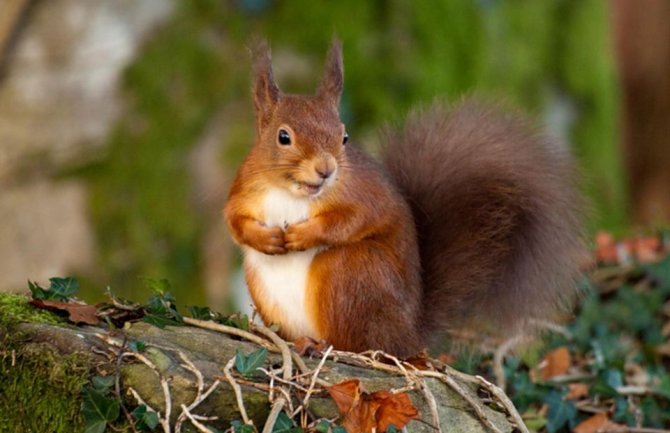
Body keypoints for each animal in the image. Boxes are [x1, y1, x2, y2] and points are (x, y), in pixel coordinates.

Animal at [223, 39, 584, 358]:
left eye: (344, 136)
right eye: (283, 137)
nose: (326, 170)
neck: (292, 193)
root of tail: (410, 334)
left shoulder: (365, 194)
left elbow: (353, 219)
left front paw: (304, 234)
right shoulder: (244, 189)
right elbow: (234, 221)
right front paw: (264, 238)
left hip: (350, 272)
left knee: (361, 344)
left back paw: (323, 345)